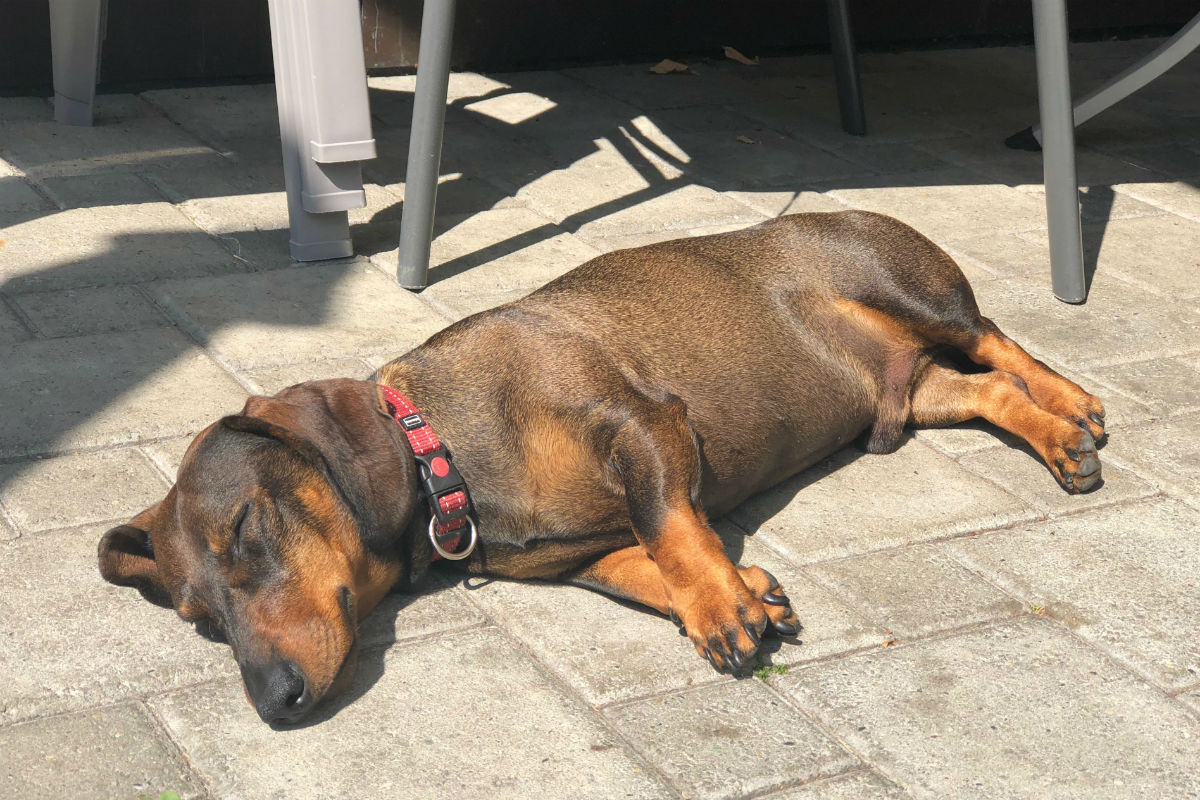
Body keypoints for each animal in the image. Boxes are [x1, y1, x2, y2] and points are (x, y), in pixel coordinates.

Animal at [98, 211, 1105, 725]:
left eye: (245, 531)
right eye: (200, 620)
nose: (273, 702)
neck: (449, 457)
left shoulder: (645, 425)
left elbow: (668, 524)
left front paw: (722, 609)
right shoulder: (577, 559)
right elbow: (643, 566)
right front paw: (744, 592)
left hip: (918, 294)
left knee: (1002, 342)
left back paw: (1076, 410)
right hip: (911, 393)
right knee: (986, 391)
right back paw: (1054, 436)